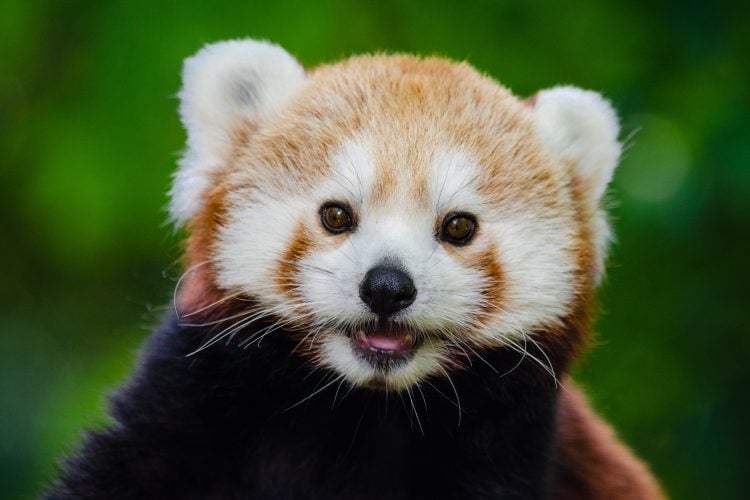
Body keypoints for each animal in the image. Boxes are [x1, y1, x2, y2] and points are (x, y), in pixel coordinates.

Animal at [48, 40, 664, 500]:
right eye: (337, 215)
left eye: (458, 227)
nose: (388, 287)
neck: (359, 407)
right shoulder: (189, 394)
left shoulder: (508, 448)